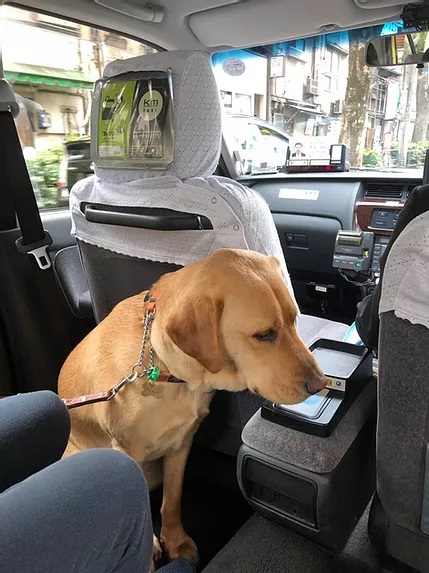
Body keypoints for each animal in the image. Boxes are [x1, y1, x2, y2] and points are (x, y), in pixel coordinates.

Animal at [57, 249, 324, 564]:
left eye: (295, 320)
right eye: (263, 334)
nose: (321, 384)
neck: (161, 364)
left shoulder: (181, 442)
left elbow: (172, 500)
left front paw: (175, 541)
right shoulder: (126, 450)